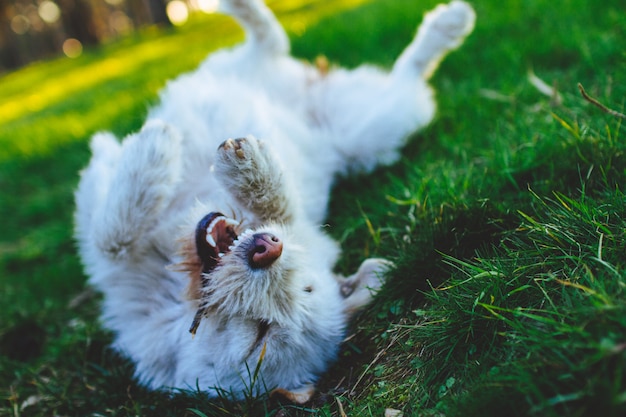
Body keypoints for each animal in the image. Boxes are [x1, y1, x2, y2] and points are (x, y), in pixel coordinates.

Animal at [74, 0, 472, 404]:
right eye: (306, 287)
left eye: (259, 334)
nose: (267, 248)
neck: (178, 284)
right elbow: (117, 229)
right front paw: (238, 166)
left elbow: (111, 239)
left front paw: (161, 148)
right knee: (271, 43)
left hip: (371, 131)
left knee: (409, 77)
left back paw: (448, 26)